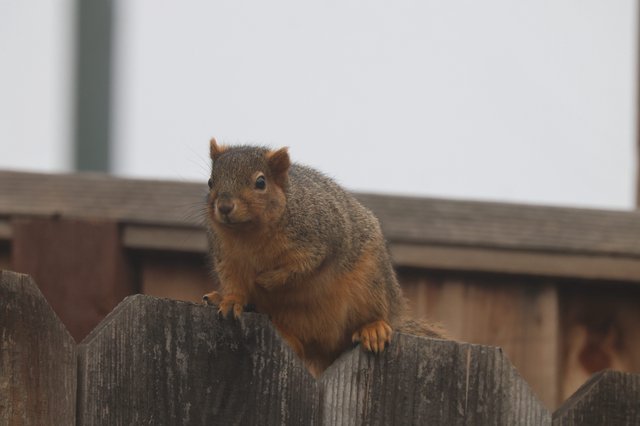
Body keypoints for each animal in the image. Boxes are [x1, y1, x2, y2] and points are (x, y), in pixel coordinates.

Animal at [203, 138, 443, 377]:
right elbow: (233, 283)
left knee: (375, 314)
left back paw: (374, 329)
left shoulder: (320, 240)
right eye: (210, 182)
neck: (249, 234)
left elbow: (302, 267)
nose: (224, 207)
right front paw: (231, 301)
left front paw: (266, 280)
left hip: (371, 284)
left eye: (261, 182)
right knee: (299, 345)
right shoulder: (227, 259)